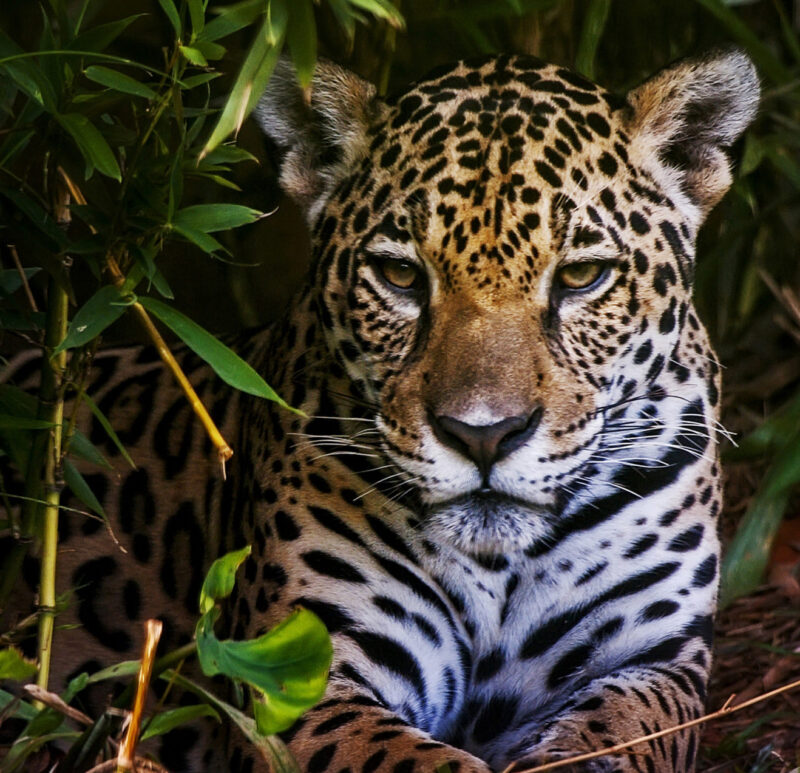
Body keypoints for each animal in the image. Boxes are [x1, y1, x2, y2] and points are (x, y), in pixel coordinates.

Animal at [1, 49, 759, 772]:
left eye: (581, 276)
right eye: (399, 276)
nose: (483, 435)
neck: (499, 569)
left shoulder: (652, 659)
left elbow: (618, 738)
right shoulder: (298, 674)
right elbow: (420, 763)